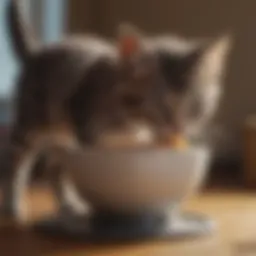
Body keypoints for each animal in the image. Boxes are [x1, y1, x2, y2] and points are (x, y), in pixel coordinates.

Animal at [0, 0, 232, 224]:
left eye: (196, 106)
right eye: (160, 105)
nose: (177, 129)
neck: (128, 121)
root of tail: (38, 52)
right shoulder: (83, 116)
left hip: (61, 132)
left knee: (55, 168)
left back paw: (68, 205)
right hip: (31, 120)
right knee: (16, 161)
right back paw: (13, 206)